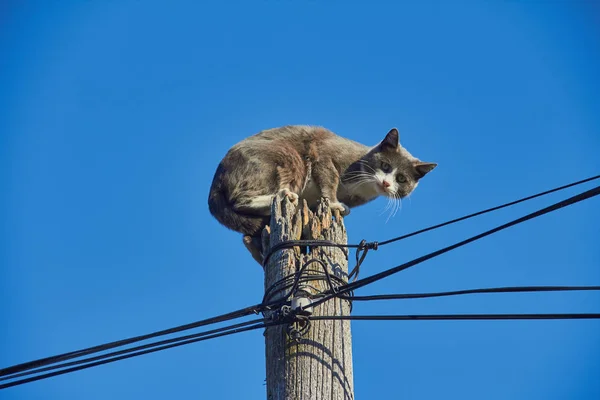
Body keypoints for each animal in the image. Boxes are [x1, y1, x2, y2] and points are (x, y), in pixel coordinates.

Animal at [207, 125, 436, 262]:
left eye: (402, 179)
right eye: (385, 165)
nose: (387, 183)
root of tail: (215, 183)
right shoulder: (325, 154)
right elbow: (329, 178)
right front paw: (334, 203)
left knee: (247, 234)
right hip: (289, 157)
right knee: (240, 199)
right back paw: (286, 195)